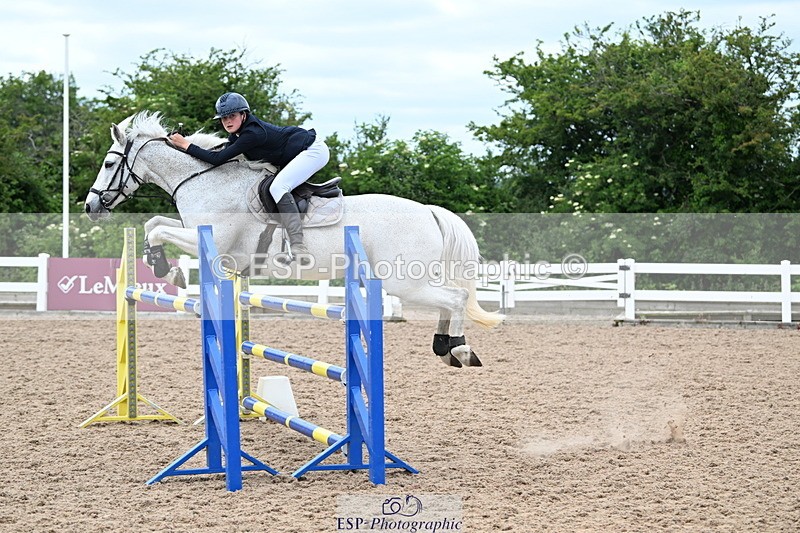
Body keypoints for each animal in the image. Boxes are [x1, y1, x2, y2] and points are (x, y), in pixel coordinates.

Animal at [84, 111, 503, 368]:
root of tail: (429, 211)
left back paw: (459, 349)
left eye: (109, 163)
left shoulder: (213, 242)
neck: (206, 180)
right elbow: (154, 223)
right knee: (450, 297)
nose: (90, 206)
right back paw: (444, 348)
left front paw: (167, 270)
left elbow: (157, 228)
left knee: (455, 297)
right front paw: (165, 268)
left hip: (403, 280)